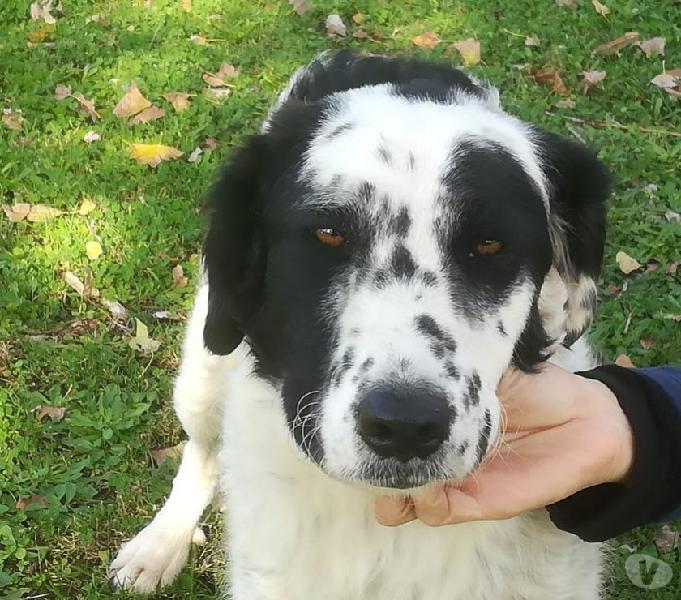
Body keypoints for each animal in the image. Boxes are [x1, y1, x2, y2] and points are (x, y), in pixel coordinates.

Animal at [110, 52, 612, 600]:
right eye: (328, 233)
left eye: (490, 245)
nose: (405, 425)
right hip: (203, 371)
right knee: (201, 452)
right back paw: (160, 544)